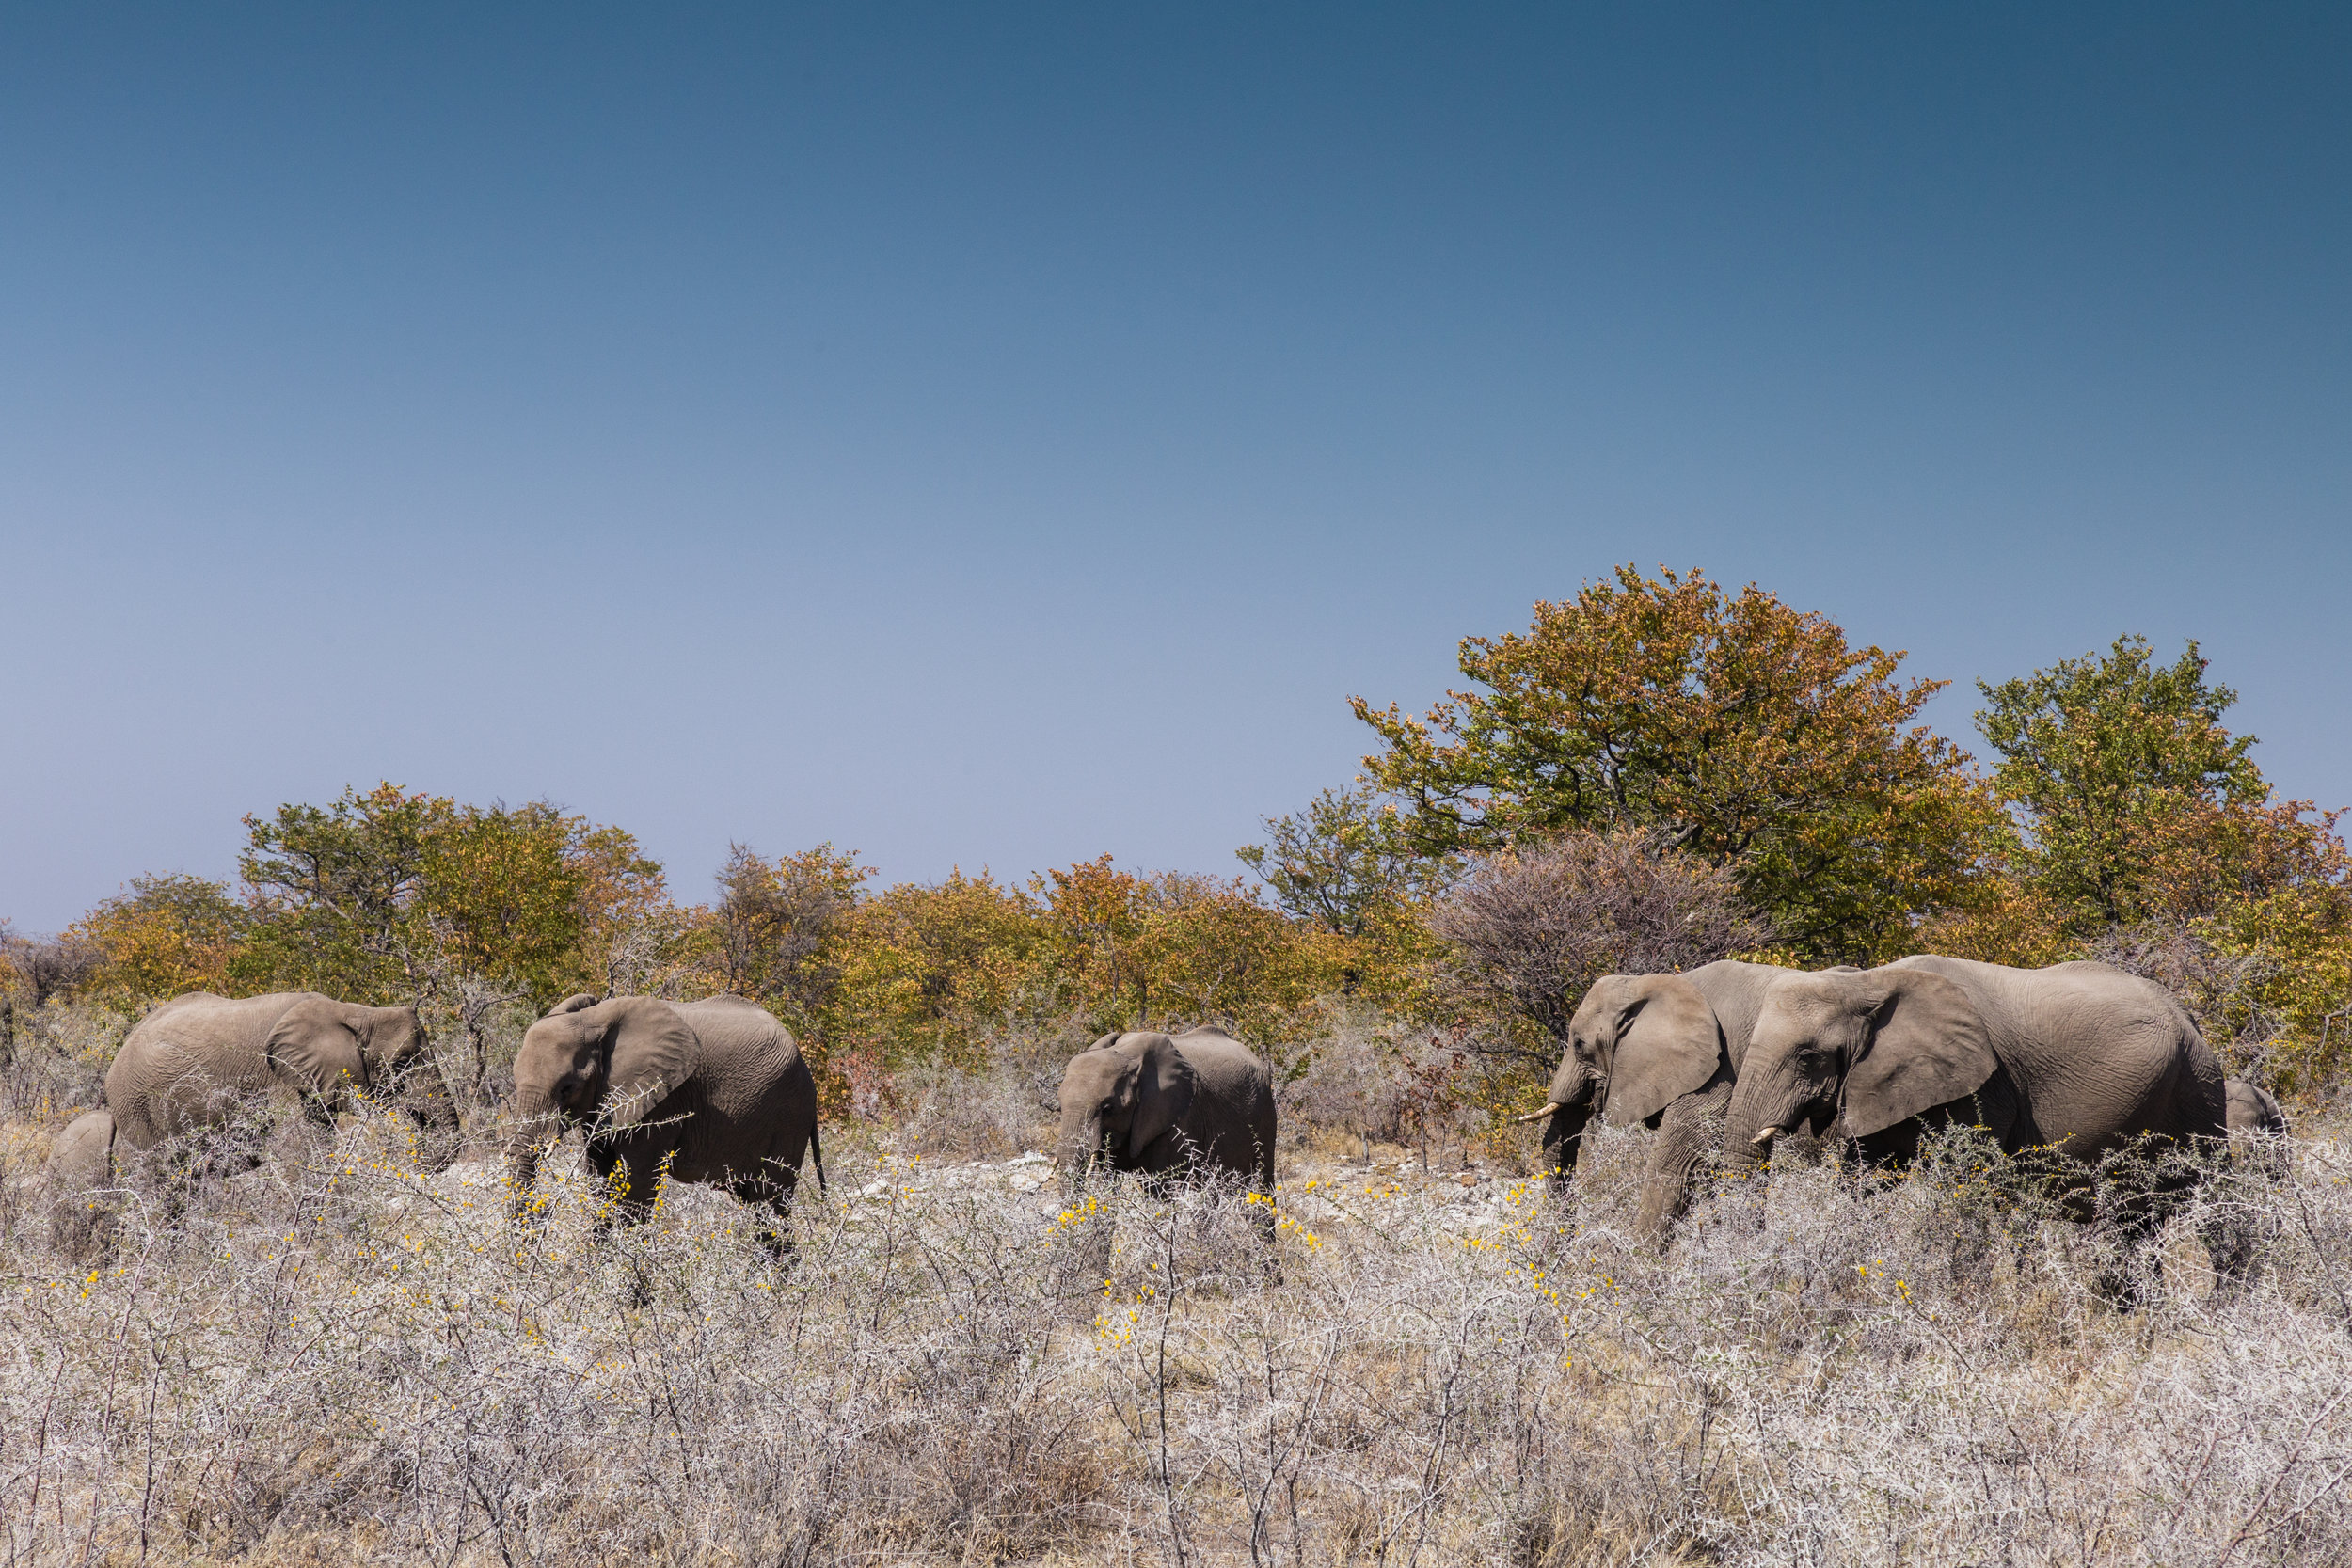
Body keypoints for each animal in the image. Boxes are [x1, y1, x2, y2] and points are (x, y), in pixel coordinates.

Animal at [505, 991, 828, 1259]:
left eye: (567, 1088)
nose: (533, 1236)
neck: (594, 1019)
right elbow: (600, 1181)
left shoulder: (661, 1099)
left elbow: (637, 1185)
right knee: (757, 1206)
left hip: (789, 1116)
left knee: (770, 1203)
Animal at [1058, 1024, 1279, 1212]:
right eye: (1059, 1106)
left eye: (1107, 1108)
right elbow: (1107, 1181)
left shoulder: (1176, 1117)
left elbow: (1162, 1188)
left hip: (1265, 1113)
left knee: (1262, 1185)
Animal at [1722, 958, 2230, 1288]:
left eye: (1808, 1058)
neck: (1869, 982)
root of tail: (2190, 1015)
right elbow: (1866, 1177)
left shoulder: (1983, 1085)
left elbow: (1962, 1183)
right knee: (2137, 1226)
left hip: (2199, 1091)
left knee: (2211, 1212)